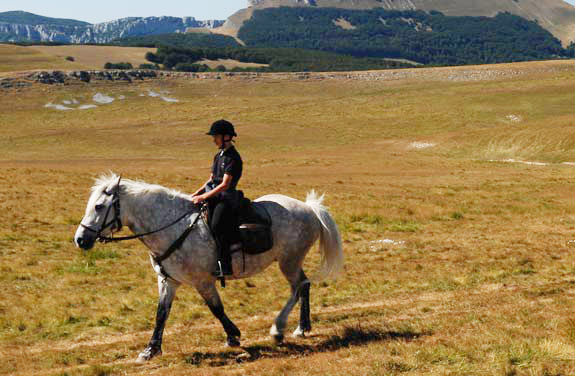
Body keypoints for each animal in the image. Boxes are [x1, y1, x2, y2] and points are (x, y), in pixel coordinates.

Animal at [74, 173, 344, 362]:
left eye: (99, 206)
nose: (80, 240)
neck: (171, 227)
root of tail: (309, 208)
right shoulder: (168, 280)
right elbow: (161, 314)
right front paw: (150, 350)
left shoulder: (203, 281)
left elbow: (216, 308)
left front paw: (233, 335)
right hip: (291, 261)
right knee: (304, 285)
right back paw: (302, 327)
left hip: (289, 260)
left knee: (298, 287)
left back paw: (279, 329)